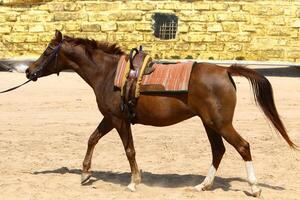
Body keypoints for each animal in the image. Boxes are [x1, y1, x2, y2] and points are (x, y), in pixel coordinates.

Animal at [25, 31, 296, 197]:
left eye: (48, 50)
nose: (29, 71)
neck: (108, 73)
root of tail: (225, 70)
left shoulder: (119, 120)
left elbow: (129, 150)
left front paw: (134, 182)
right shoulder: (110, 118)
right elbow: (92, 138)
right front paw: (84, 174)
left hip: (220, 123)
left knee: (243, 146)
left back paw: (255, 188)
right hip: (209, 123)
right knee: (218, 150)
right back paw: (203, 185)